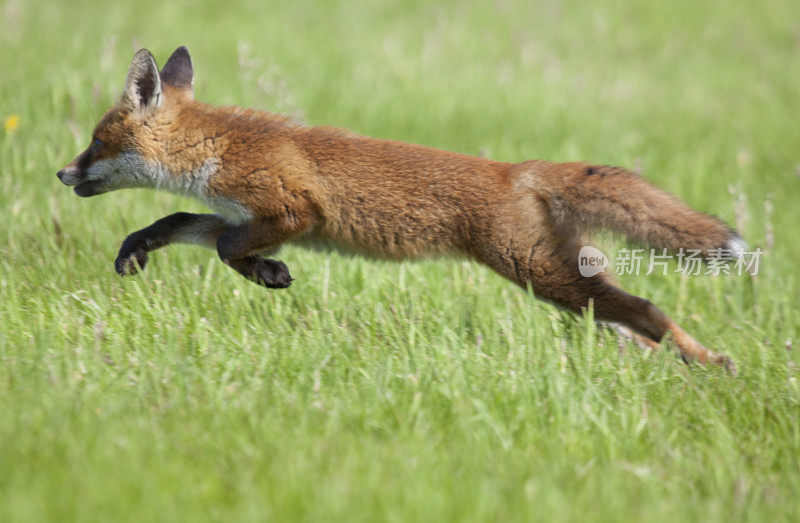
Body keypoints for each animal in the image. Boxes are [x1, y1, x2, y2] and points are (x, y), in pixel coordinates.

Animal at [56, 46, 744, 372]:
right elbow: (176, 223)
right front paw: (136, 249)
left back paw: (710, 365)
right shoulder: (240, 213)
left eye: (96, 142)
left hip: (539, 274)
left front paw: (271, 275)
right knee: (630, 324)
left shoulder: (294, 211)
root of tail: (516, 171)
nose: (61, 173)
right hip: (570, 284)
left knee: (649, 311)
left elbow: (228, 249)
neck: (216, 148)